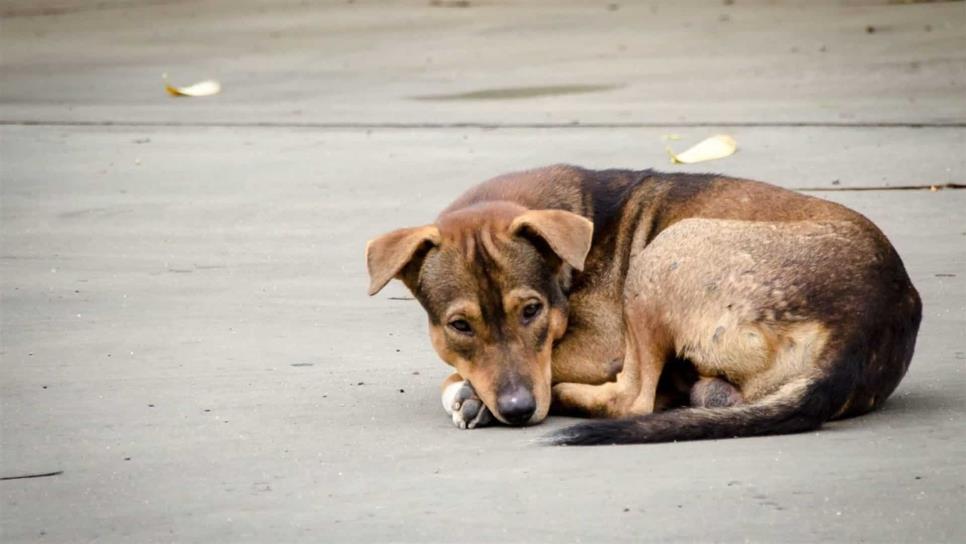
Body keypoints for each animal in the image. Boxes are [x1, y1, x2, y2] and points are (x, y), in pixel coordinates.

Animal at [364, 167, 924, 446]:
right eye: (459, 325)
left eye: (531, 311)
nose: (519, 411)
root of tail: (864, 328)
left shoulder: (599, 343)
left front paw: (469, 394)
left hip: (662, 256)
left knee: (633, 399)